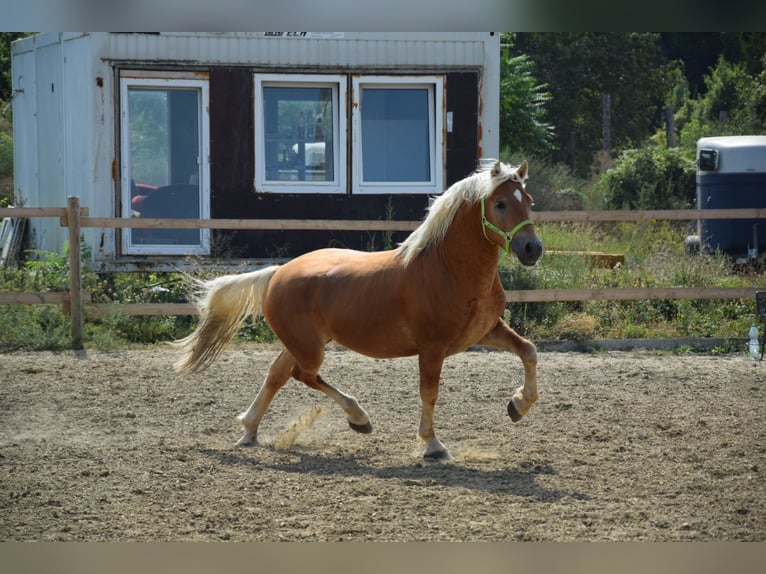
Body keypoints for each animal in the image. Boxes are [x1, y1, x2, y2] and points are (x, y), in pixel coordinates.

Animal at [174, 160, 544, 462]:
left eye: (528, 201)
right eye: (500, 203)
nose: (532, 248)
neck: (447, 269)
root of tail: (278, 272)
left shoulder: (485, 331)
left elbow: (529, 351)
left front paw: (518, 405)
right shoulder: (432, 347)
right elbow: (429, 393)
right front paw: (432, 446)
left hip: (303, 343)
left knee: (277, 373)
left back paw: (250, 430)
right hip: (309, 348)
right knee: (302, 375)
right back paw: (359, 417)